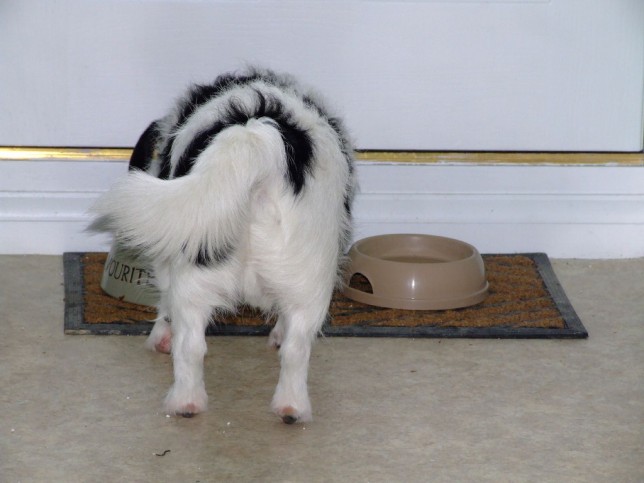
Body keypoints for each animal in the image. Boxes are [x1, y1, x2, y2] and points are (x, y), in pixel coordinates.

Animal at [89, 67, 358, 424]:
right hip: (304, 280)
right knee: (294, 348)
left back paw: (187, 401)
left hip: (198, 269)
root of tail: (256, 140)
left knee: (191, 345)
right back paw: (289, 406)